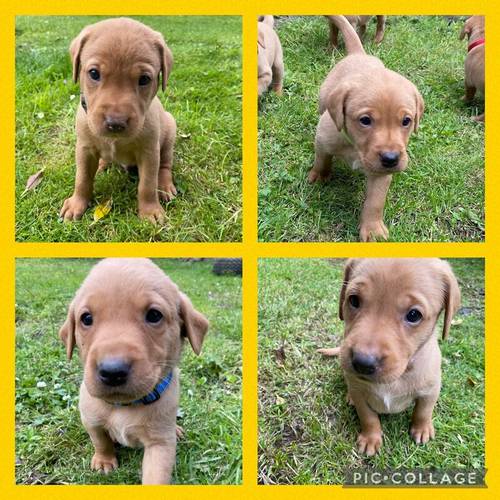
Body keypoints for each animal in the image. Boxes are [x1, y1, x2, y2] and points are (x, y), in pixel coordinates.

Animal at [59, 260, 209, 482]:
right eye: (86, 318)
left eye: (154, 315)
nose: (112, 371)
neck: (125, 405)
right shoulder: (90, 420)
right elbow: (100, 441)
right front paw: (104, 461)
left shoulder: (161, 442)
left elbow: (157, 476)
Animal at [310, 15, 424, 242]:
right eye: (365, 120)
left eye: (406, 121)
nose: (391, 159)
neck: (355, 148)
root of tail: (358, 54)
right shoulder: (323, 138)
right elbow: (322, 159)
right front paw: (319, 175)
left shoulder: (381, 173)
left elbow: (375, 201)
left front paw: (372, 229)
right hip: (323, 98)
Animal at [320, 260, 460, 456]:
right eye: (354, 300)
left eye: (414, 315)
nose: (362, 363)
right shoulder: (359, 393)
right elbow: (368, 417)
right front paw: (371, 438)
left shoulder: (431, 389)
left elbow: (424, 411)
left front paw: (422, 429)